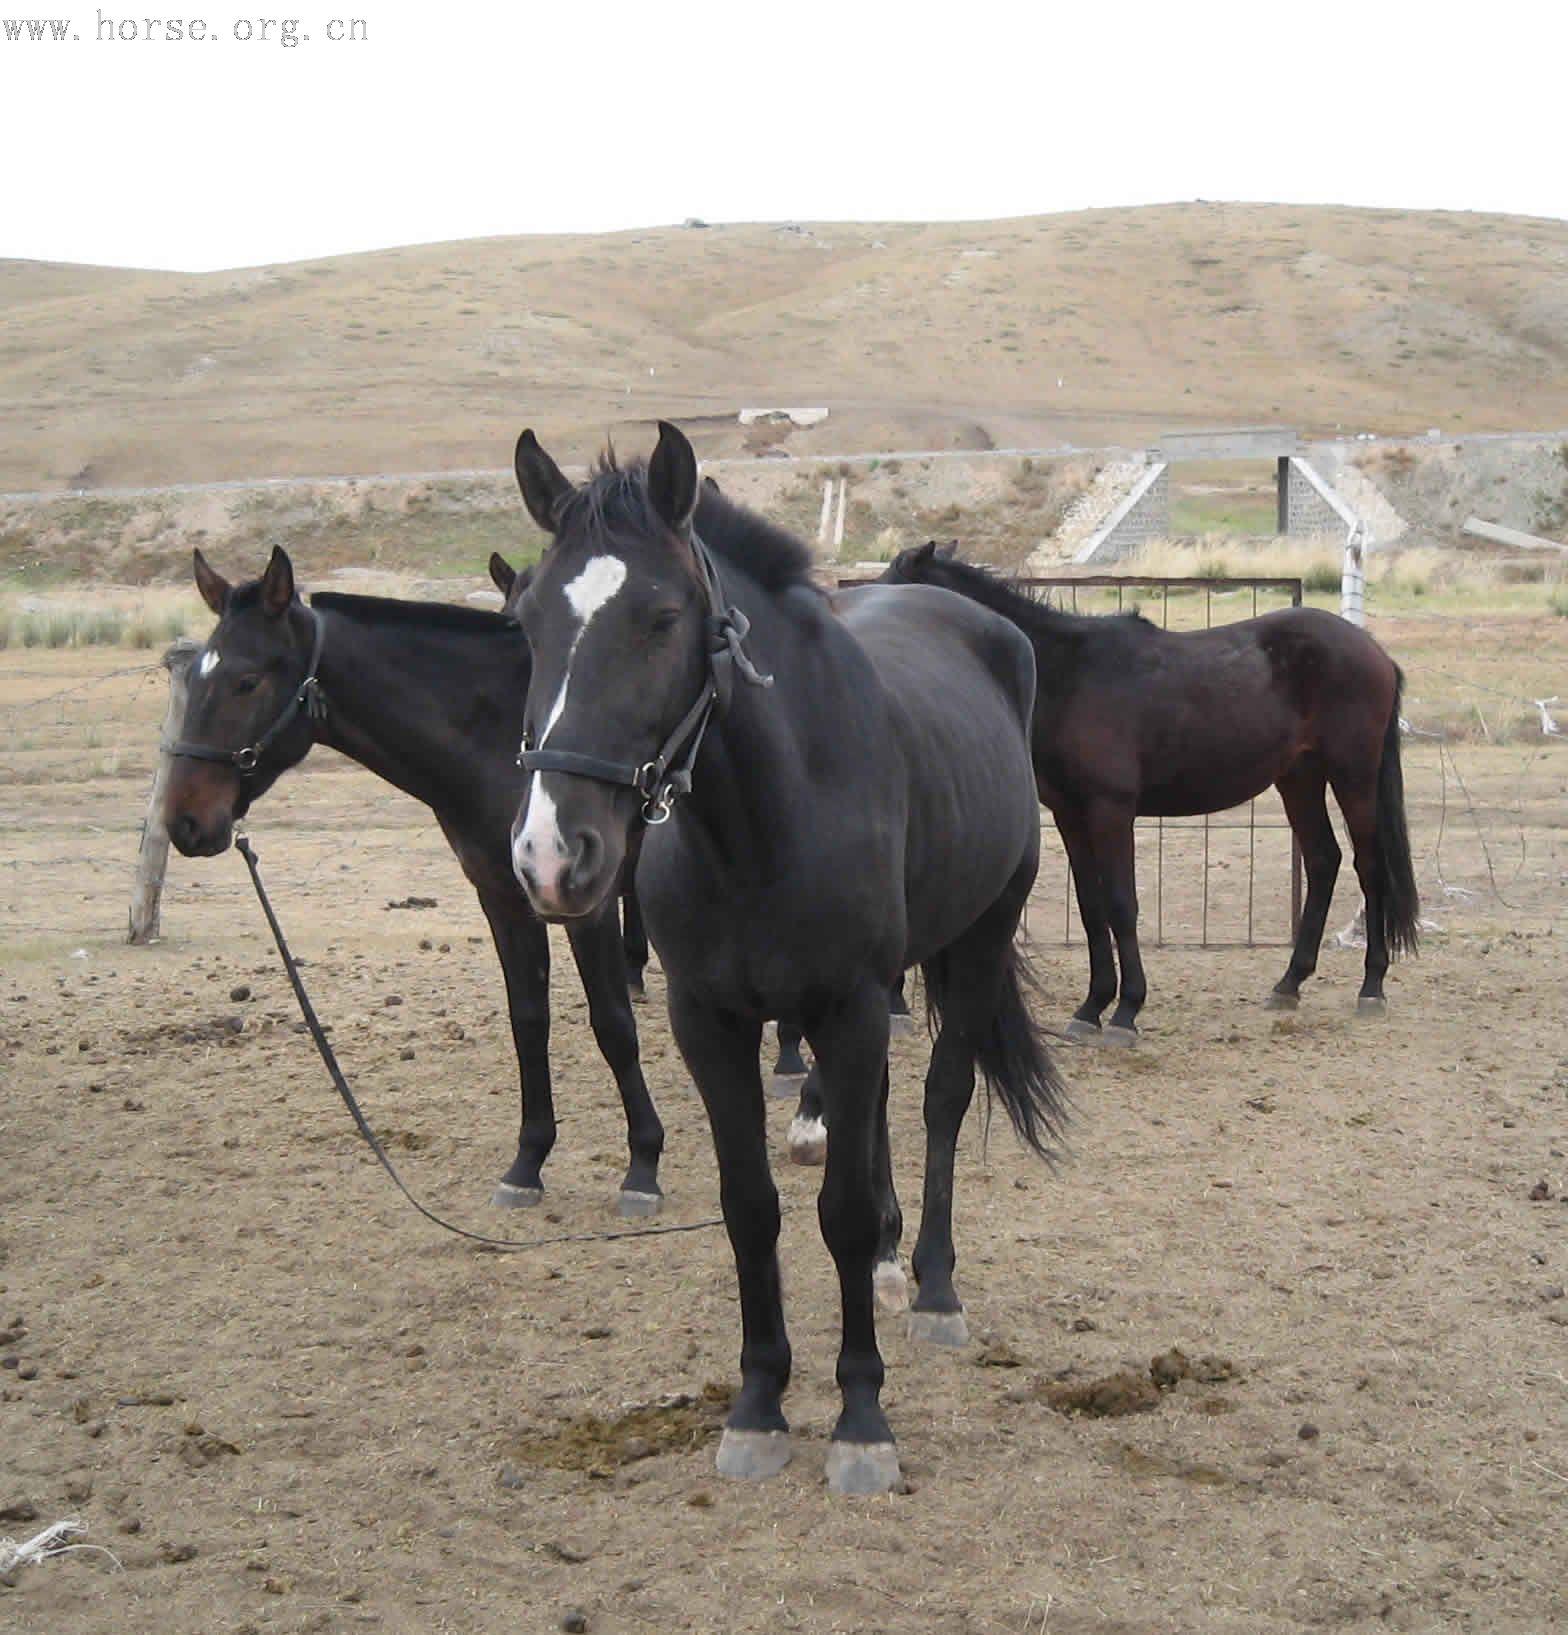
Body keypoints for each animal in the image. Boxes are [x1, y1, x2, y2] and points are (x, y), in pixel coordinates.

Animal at [162, 549, 663, 1216]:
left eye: (246, 682)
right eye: (193, 681)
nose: (185, 822)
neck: (505, 736)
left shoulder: (585, 905)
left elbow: (612, 1025)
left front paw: (643, 1165)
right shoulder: (503, 899)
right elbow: (528, 1021)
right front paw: (528, 1161)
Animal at [503, 425, 1066, 1497]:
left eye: (662, 617)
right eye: (528, 621)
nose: (553, 856)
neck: (761, 820)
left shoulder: (849, 1006)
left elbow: (836, 1208)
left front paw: (861, 1419)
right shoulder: (709, 1021)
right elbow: (750, 1205)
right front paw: (760, 1403)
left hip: (974, 943)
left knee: (941, 1098)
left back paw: (930, 1283)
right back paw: (891, 1257)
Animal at [882, 542, 1425, 1039]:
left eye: (896, 589)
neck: (1067, 674)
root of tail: (1375, 652)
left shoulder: (1111, 810)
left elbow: (1122, 904)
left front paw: (1126, 1011)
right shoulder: (1070, 814)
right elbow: (1091, 907)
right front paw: (1091, 1008)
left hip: (1352, 776)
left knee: (1369, 867)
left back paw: (1371, 987)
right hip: (1299, 778)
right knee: (1323, 861)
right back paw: (1289, 984)